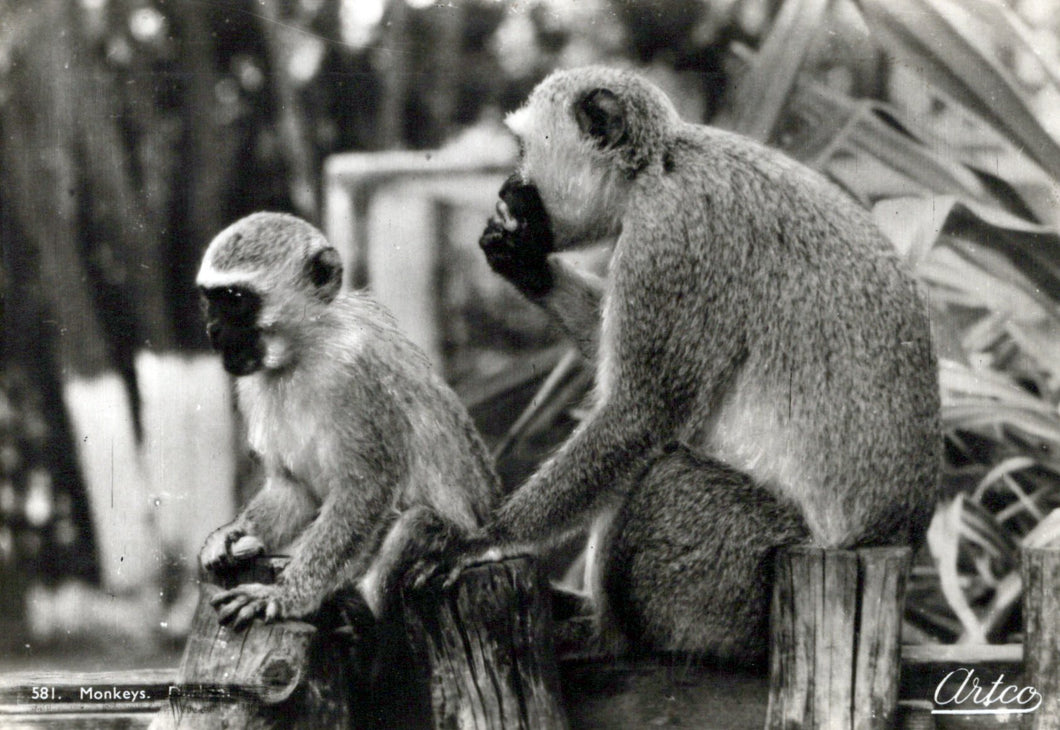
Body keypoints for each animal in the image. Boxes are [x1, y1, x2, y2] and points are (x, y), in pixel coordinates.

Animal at [195, 212, 500, 629]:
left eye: (236, 300)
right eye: (212, 299)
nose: (213, 330)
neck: (303, 351)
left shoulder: (353, 375)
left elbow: (365, 490)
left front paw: (286, 595)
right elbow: (292, 488)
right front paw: (231, 534)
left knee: (420, 521)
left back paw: (360, 605)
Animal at [465, 66, 940, 665]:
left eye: (524, 149)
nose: (506, 187)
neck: (660, 164)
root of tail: (896, 545)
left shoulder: (668, 241)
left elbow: (640, 414)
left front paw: (487, 537)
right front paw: (527, 264)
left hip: (740, 578)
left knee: (665, 479)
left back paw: (609, 636)